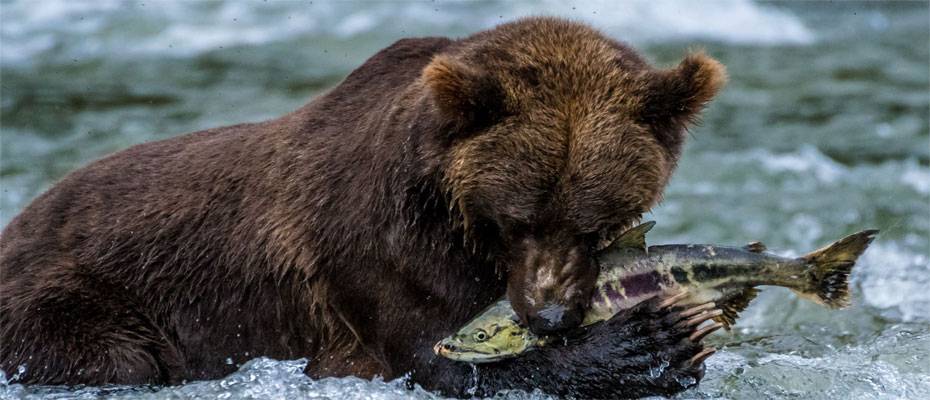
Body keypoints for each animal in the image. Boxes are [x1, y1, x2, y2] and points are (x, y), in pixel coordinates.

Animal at [0, 17, 726, 398]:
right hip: (73, 299)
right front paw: (651, 340)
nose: (549, 315)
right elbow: (435, 354)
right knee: (117, 358)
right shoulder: (375, 243)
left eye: (597, 224)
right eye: (518, 219)